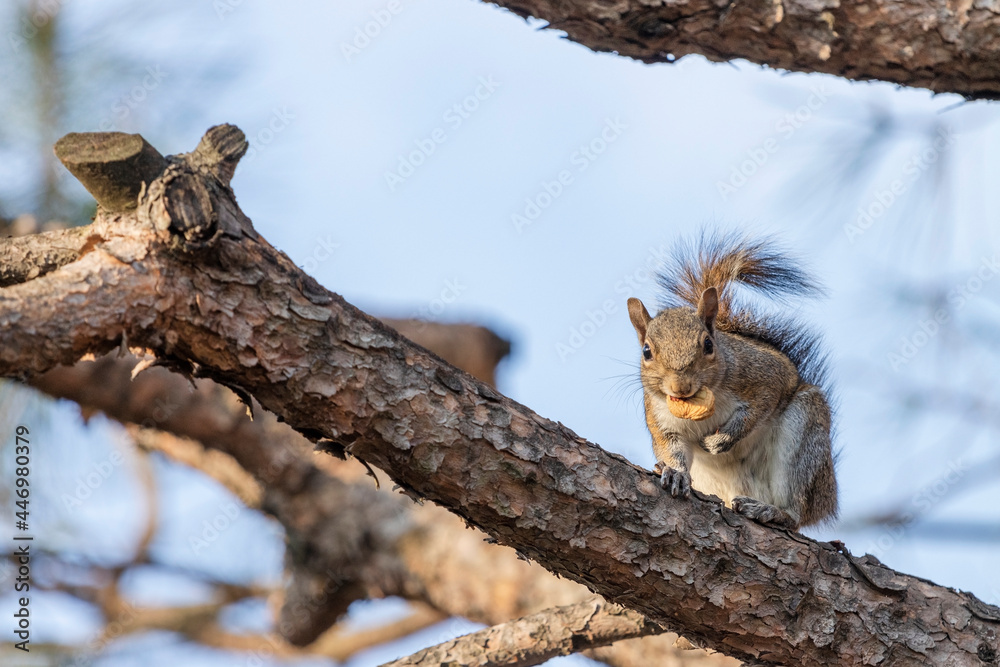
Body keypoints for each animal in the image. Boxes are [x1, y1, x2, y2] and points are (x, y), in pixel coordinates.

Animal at [632, 232, 836, 528]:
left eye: (708, 344)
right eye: (646, 351)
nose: (680, 387)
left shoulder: (764, 376)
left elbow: (759, 407)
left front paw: (721, 440)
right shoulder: (661, 418)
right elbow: (672, 448)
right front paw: (675, 473)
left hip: (804, 434)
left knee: (795, 512)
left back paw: (771, 511)